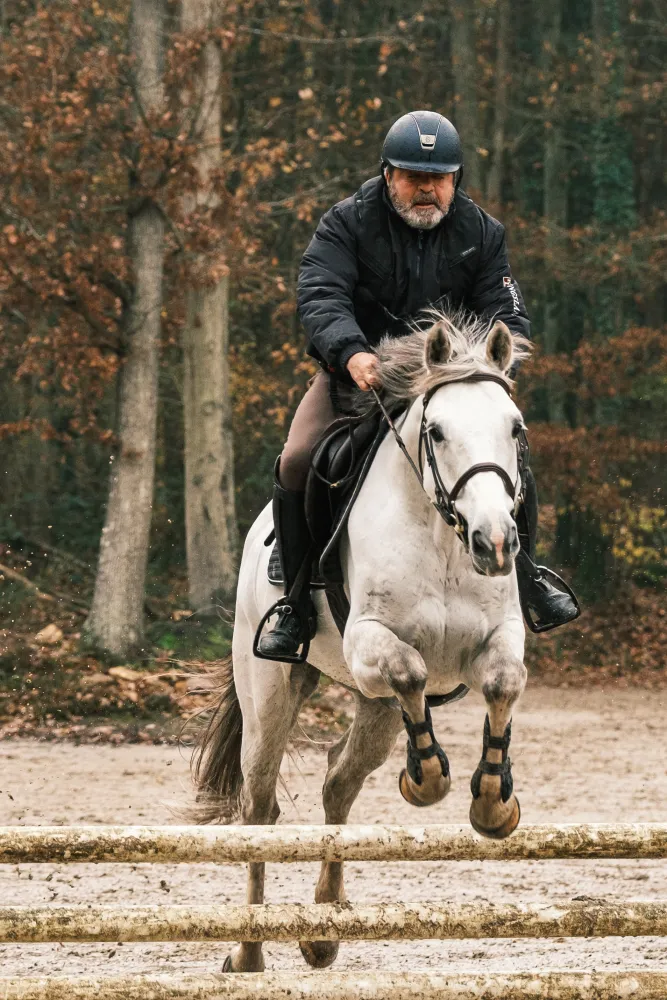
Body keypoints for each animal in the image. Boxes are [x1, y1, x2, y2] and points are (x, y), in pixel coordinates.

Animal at [191, 310, 532, 973]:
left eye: (514, 428)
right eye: (438, 432)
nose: (495, 542)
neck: (444, 538)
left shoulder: (500, 640)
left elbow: (503, 685)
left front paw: (492, 802)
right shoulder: (371, 642)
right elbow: (410, 672)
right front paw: (426, 780)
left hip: (372, 710)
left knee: (337, 782)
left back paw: (322, 930)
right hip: (270, 693)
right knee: (260, 808)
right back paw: (249, 949)